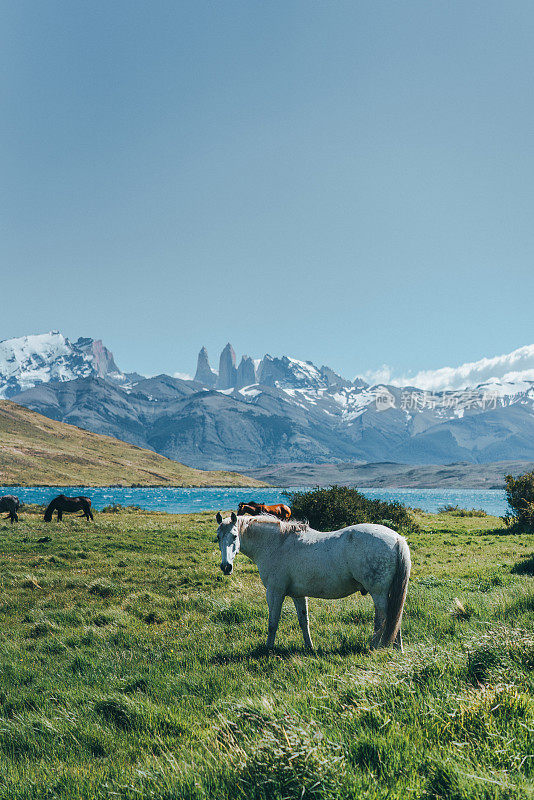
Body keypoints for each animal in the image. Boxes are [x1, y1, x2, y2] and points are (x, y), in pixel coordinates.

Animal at [216, 512, 412, 648]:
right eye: (218, 537)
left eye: (234, 536)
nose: (226, 567)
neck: (277, 544)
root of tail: (397, 538)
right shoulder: (298, 595)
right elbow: (304, 621)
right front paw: (309, 647)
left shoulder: (275, 592)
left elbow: (273, 622)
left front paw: (268, 649)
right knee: (394, 619)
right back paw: (396, 649)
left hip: (378, 593)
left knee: (384, 619)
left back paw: (375, 647)